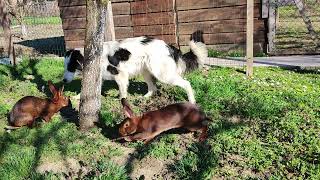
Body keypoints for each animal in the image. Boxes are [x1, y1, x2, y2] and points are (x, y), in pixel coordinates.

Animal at [62, 30, 208, 103]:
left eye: (71, 67)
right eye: (65, 67)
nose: (63, 81)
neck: (94, 56)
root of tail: (169, 46)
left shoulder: (120, 74)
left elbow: (122, 91)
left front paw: (122, 101)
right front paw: (78, 98)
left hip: (162, 74)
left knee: (186, 83)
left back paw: (192, 101)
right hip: (147, 71)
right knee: (153, 87)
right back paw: (145, 97)